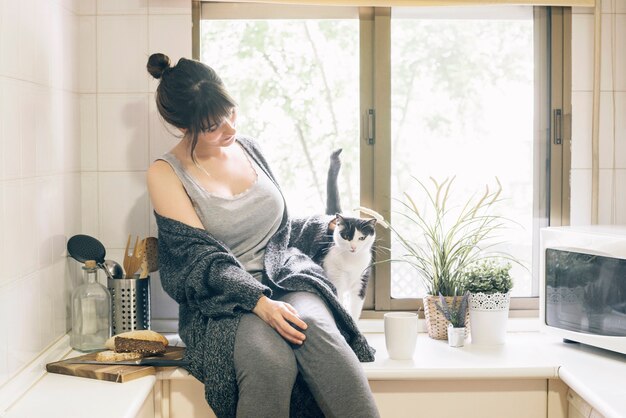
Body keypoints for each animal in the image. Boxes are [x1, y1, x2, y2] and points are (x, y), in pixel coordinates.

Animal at [322, 149, 376, 320]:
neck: (351, 262)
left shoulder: (361, 283)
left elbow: (355, 310)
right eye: (346, 236)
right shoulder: (335, 282)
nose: (353, 247)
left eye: (362, 238)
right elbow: (339, 306)